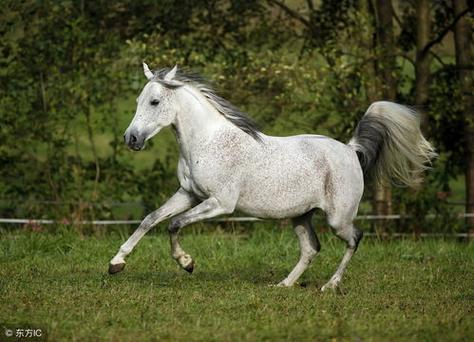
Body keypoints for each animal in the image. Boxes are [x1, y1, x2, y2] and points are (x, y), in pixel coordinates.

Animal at [108, 62, 436, 290]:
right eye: (138, 101)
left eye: (154, 102)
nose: (131, 139)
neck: (207, 141)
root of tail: (350, 149)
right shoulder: (188, 194)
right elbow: (151, 219)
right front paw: (116, 263)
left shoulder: (220, 203)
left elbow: (174, 224)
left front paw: (187, 263)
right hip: (301, 215)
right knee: (311, 248)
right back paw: (283, 285)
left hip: (338, 218)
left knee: (354, 239)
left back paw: (330, 286)